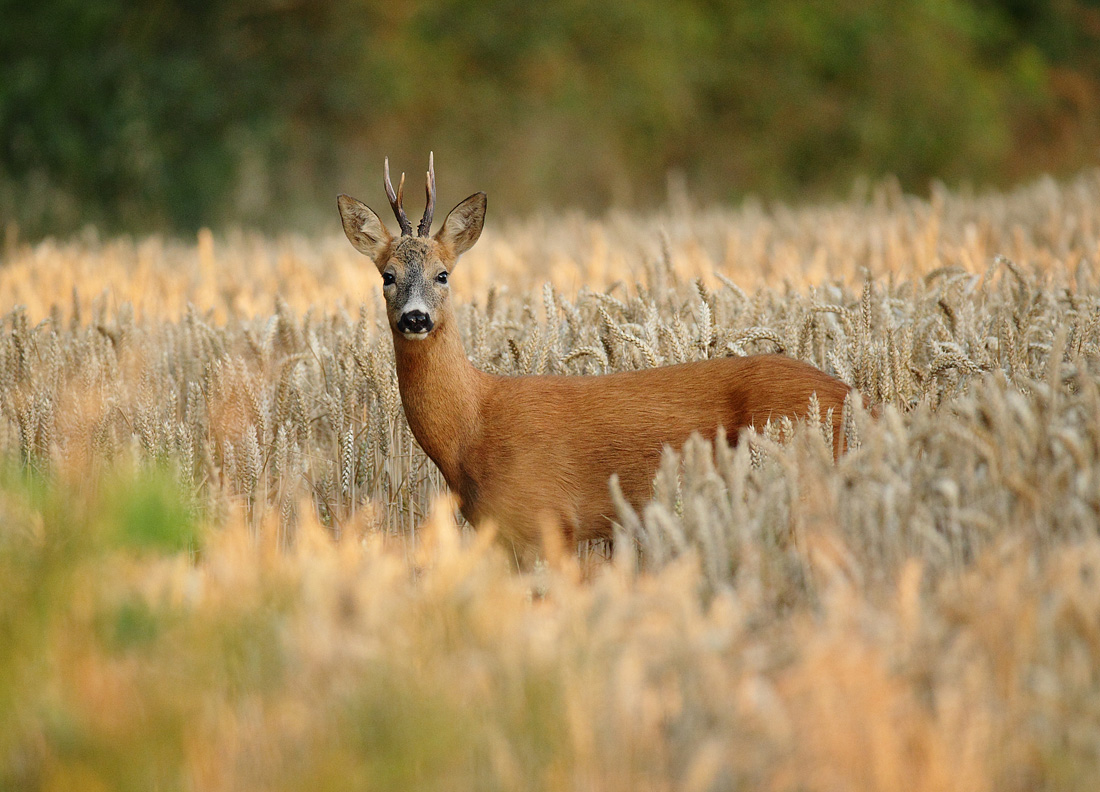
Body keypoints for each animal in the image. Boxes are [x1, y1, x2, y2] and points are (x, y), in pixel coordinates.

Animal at [334, 151, 849, 554]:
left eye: (442, 274)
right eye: (388, 276)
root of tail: (853, 396)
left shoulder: (548, 517)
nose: (415, 318)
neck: (471, 427)